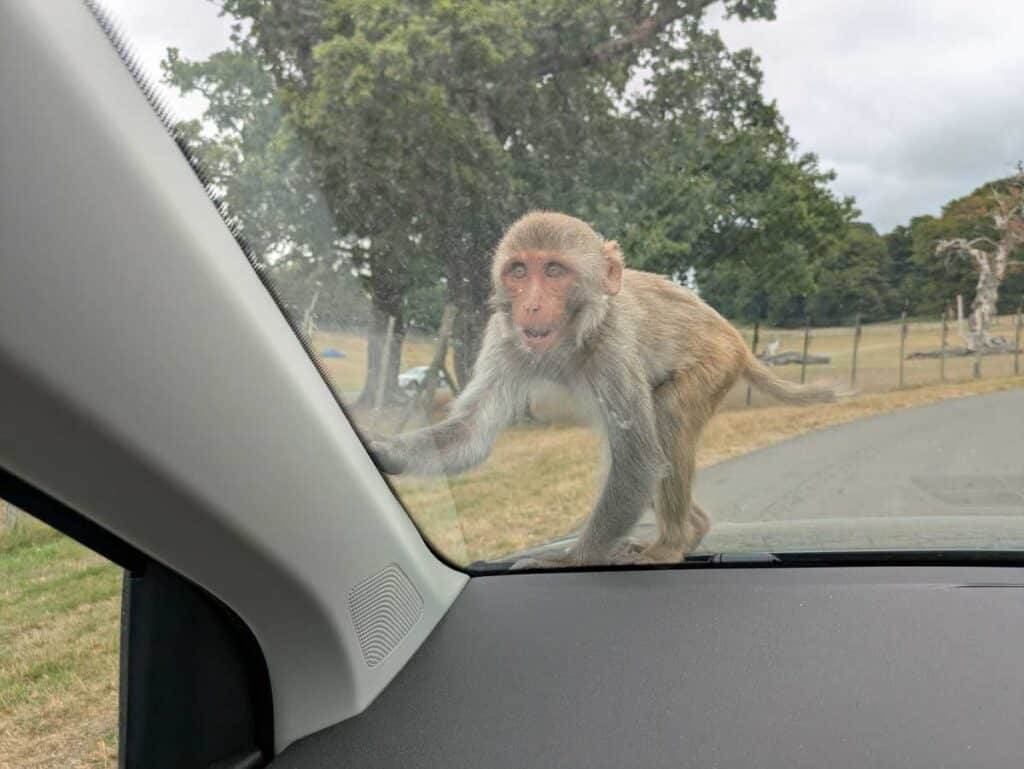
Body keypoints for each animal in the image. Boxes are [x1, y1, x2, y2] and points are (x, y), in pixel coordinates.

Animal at [369, 211, 838, 567]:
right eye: (519, 271)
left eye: (553, 270)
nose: (531, 305)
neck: (568, 339)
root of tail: (736, 338)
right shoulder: (505, 337)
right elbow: (472, 435)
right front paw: (383, 451)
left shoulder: (611, 345)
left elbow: (639, 461)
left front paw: (569, 560)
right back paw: (695, 529)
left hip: (714, 364)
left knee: (665, 414)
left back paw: (671, 544)